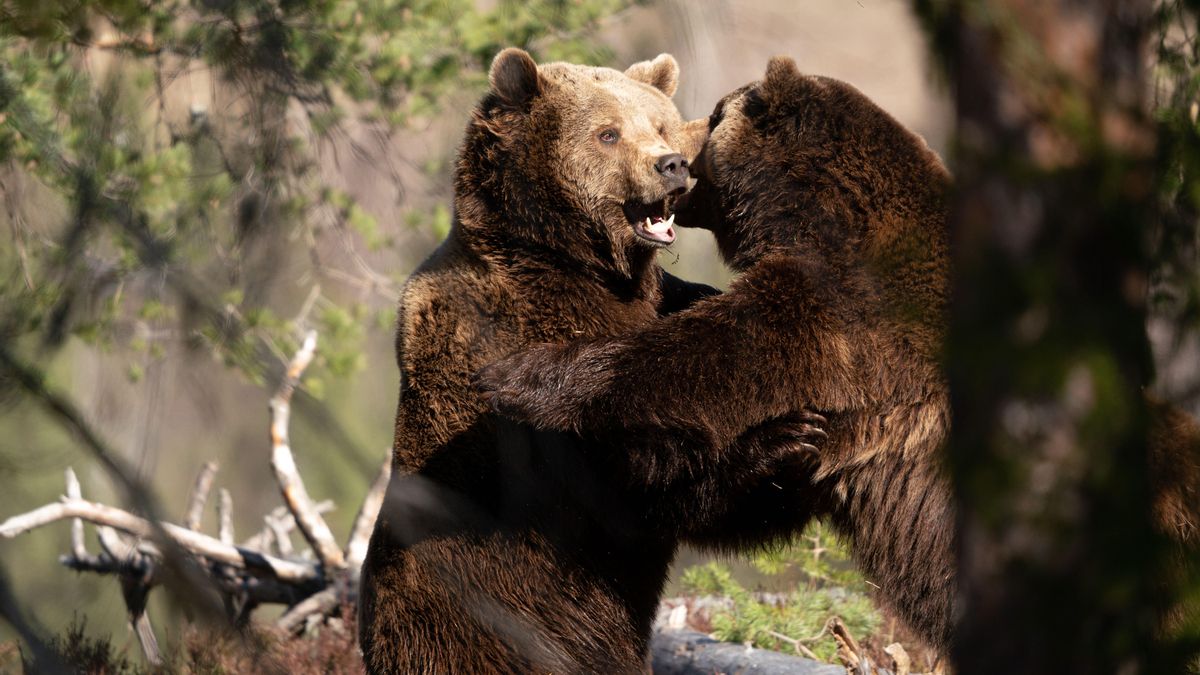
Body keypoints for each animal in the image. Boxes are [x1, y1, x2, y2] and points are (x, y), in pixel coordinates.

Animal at [356, 48, 813, 674]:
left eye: (661, 124)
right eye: (608, 133)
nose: (671, 165)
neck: (578, 271)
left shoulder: (664, 303)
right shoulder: (495, 350)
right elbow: (623, 477)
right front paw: (781, 442)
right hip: (474, 629)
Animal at [475, 55, 1200, 653]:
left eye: (714, 116)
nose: (673, 153)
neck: (812, 211)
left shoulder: (853, 316)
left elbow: (712, 352)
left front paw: (519, 377)